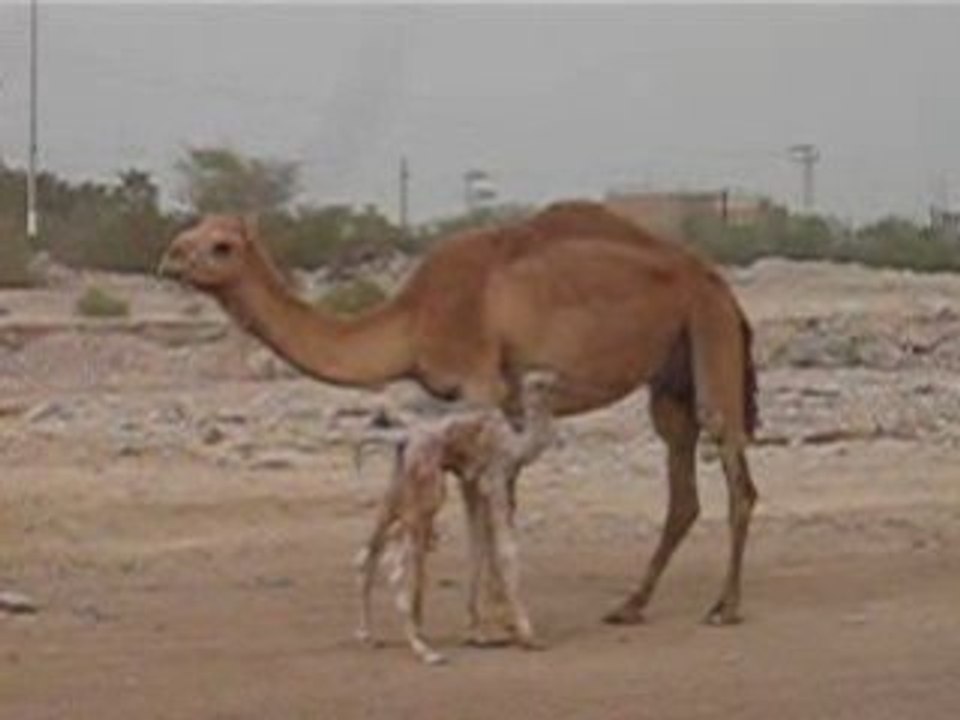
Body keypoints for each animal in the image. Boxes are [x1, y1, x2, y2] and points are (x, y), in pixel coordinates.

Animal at [159, 199, 759, 626]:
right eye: (191, 231)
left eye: (221, 245)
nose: (170, 258)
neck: (413, 317)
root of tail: (716, 279)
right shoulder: (502, 400)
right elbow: (497, 497)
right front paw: (492, 610)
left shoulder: (479, 385)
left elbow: (489, 497)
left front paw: (494, 615)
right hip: (670, 373)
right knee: (682, 481)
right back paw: (631, 605)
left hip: (709, 328)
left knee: (732, 462)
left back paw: (725, 607)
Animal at [354, 370, 557, 665]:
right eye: (540, 383)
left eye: (547, 380)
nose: (559, 382)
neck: (516, 444)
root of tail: (403, 438)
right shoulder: (495, 479)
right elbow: (506, 551)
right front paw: (528, 636)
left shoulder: (472, 483)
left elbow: (477, 547)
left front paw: (478, 634)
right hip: (429, 489)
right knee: (396, 566)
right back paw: (425, 651)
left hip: (399, 487)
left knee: (368, 553)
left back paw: (369, 635)